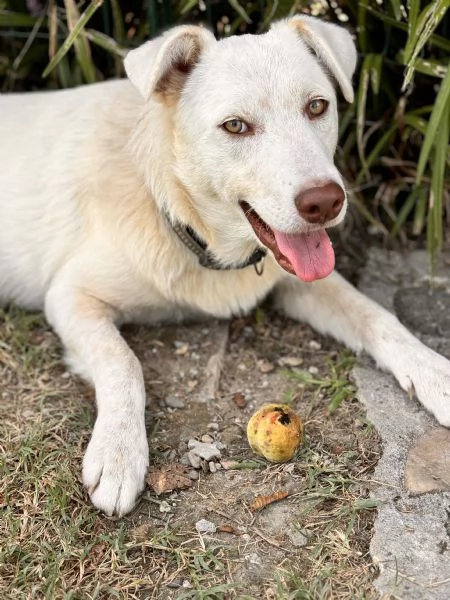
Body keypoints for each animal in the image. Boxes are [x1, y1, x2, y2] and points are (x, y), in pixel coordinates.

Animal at [0, 16, 450, 516]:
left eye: (317, 106)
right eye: (235, 126)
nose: (324, 202)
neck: (184, 220)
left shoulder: (299, 281)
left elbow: (378, 317)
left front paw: (437, 375)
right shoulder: (70, 295)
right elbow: (124, 363)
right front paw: (118, 452)